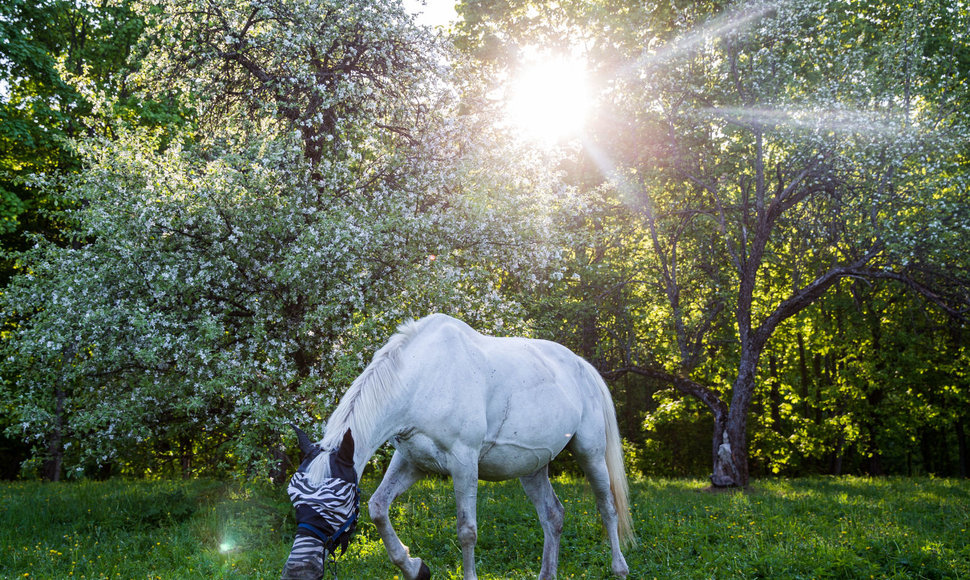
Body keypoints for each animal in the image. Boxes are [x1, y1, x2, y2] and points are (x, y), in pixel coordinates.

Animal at [278, 314, 636, 576]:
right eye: (293, 496)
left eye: (338, 502)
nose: (298, 571)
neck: (423, 378)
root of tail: (582, 366)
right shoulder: (411, 460)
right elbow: (378, 508)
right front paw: (414, 567)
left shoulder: (464, 462)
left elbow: (467, 531)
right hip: (532, 467)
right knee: (553, 516)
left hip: (590, 453)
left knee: (607, 507)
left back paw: (619, 568)